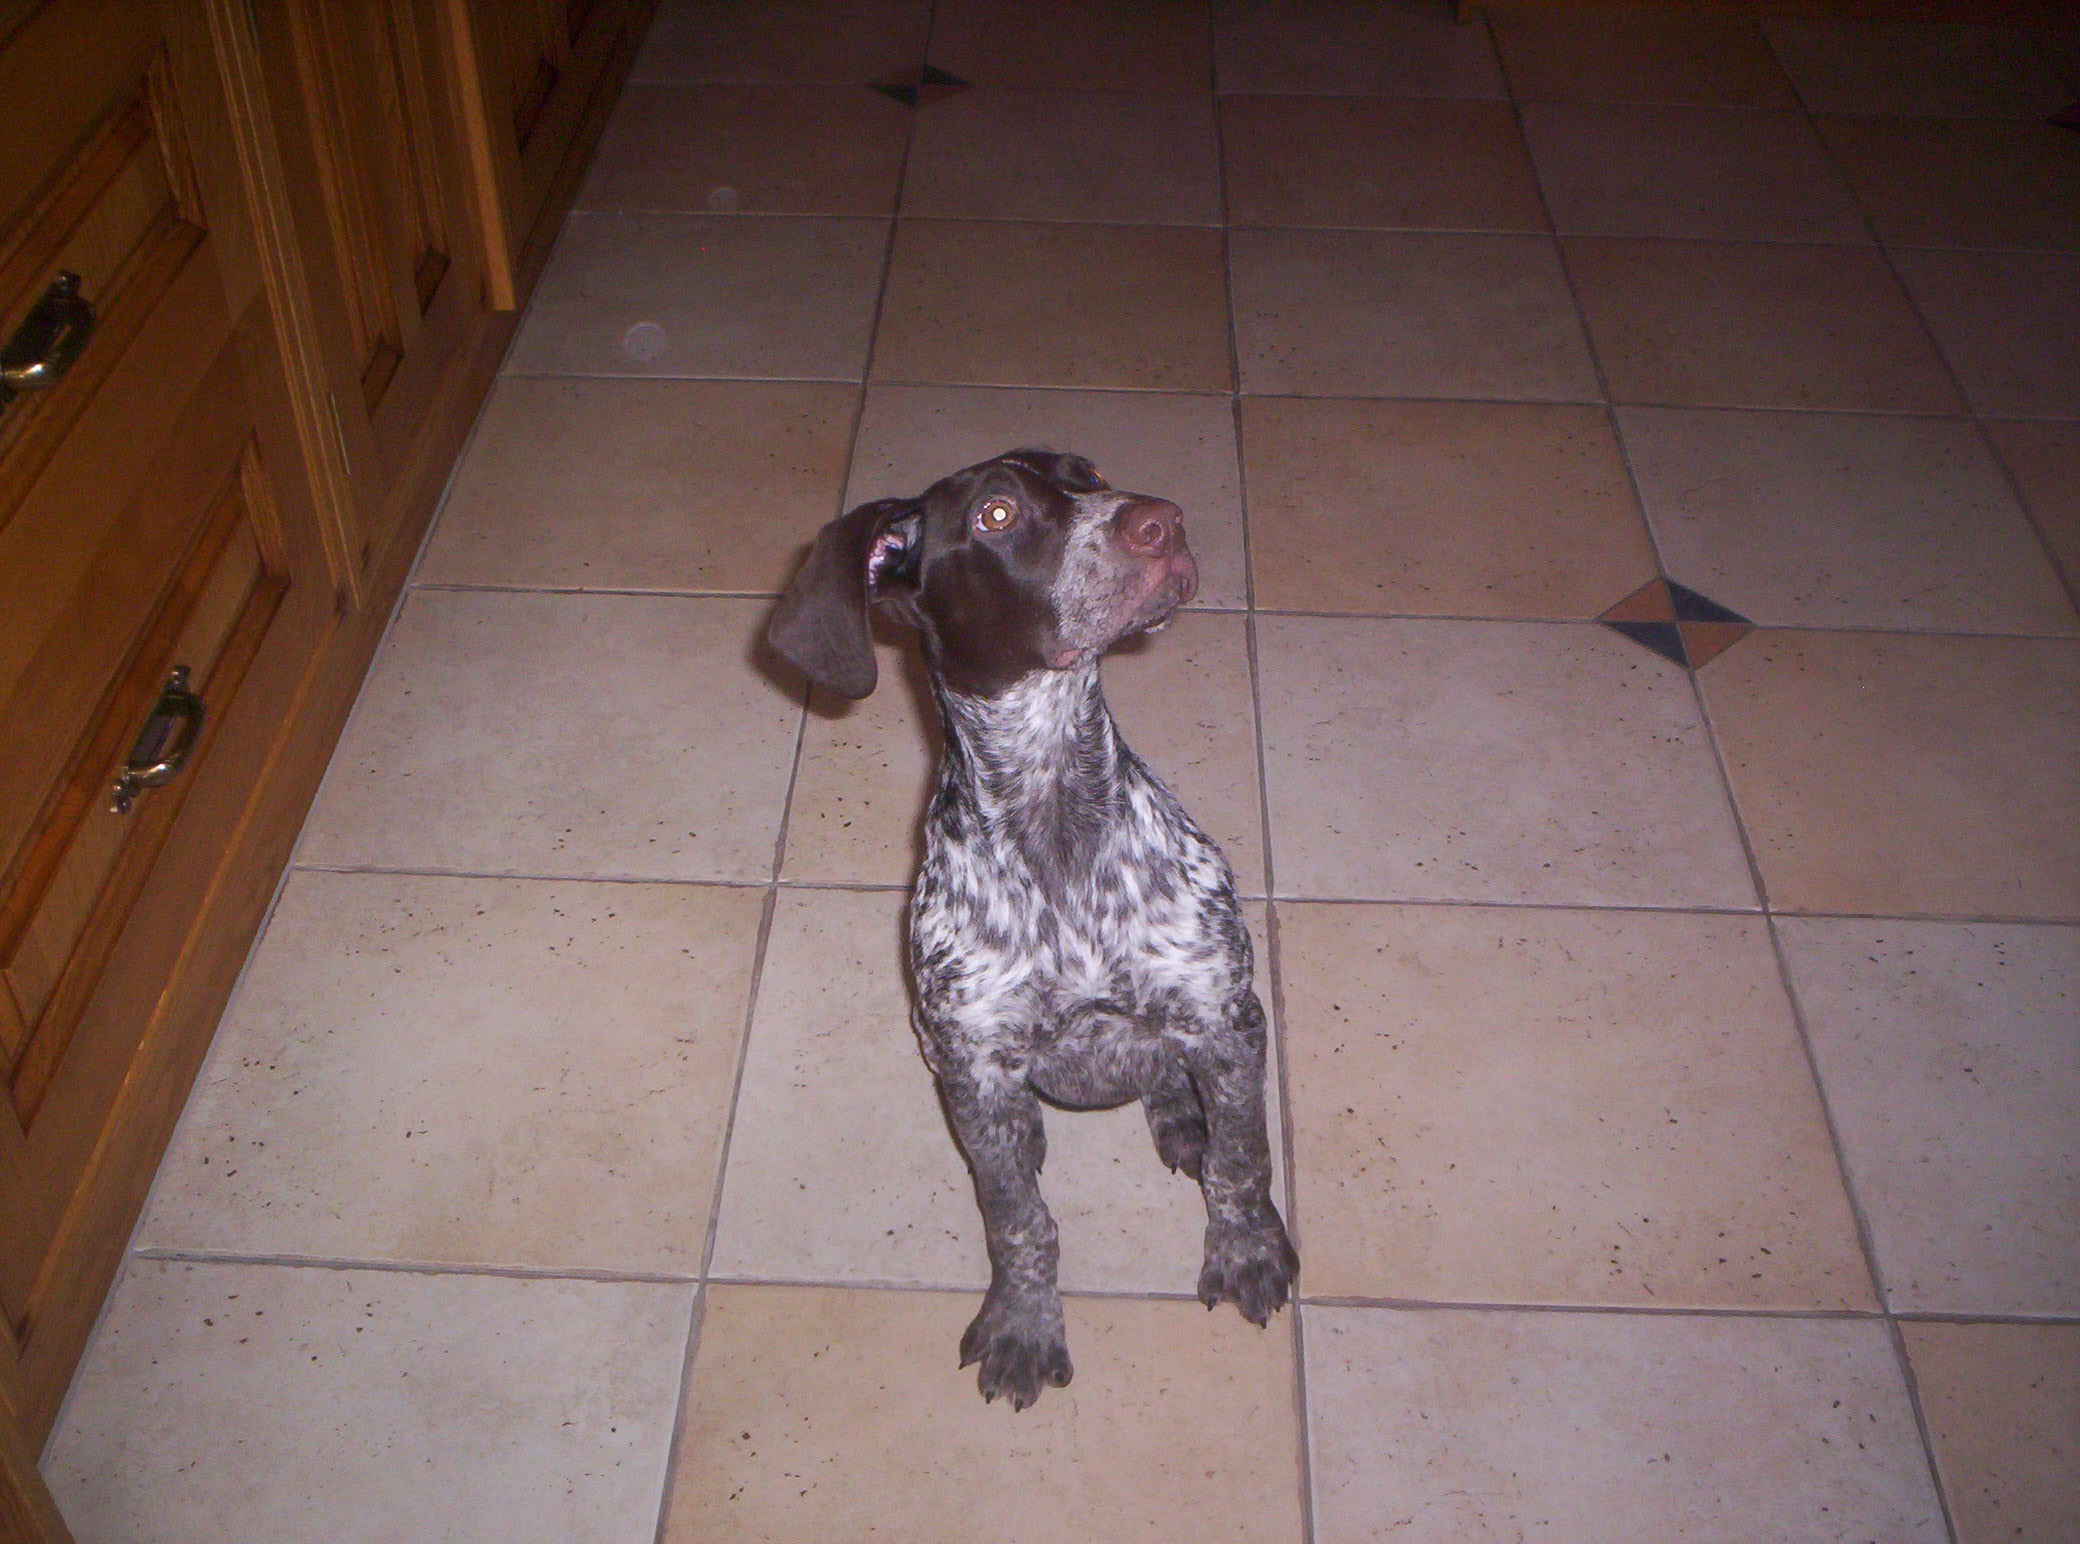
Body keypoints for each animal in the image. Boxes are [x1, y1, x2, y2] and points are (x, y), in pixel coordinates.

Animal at [768, 449, 1297, 1409]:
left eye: (1089, 474)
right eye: (996, 515)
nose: (1163, 520)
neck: (1057, 817)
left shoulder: (1226, 1016)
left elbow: (1242, 1159)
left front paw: (1246, 1249)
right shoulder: (975, 1059)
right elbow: (1018, 1220)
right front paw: (1024, 1319)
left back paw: (1182, 1116)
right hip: (937, 1046)